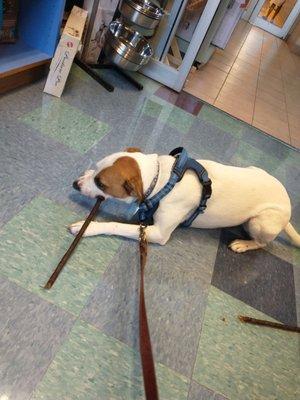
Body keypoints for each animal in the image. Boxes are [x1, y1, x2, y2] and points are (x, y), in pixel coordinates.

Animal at [68, 147, 300, 253]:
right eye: (95, 168)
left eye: (101, 183)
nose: (75, 184)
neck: (163, 178)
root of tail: (288, 205)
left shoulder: (158, 233)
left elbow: (115, 225)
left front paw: (87, 227)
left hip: (262, 222)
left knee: (263, 243)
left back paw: (244, 243)